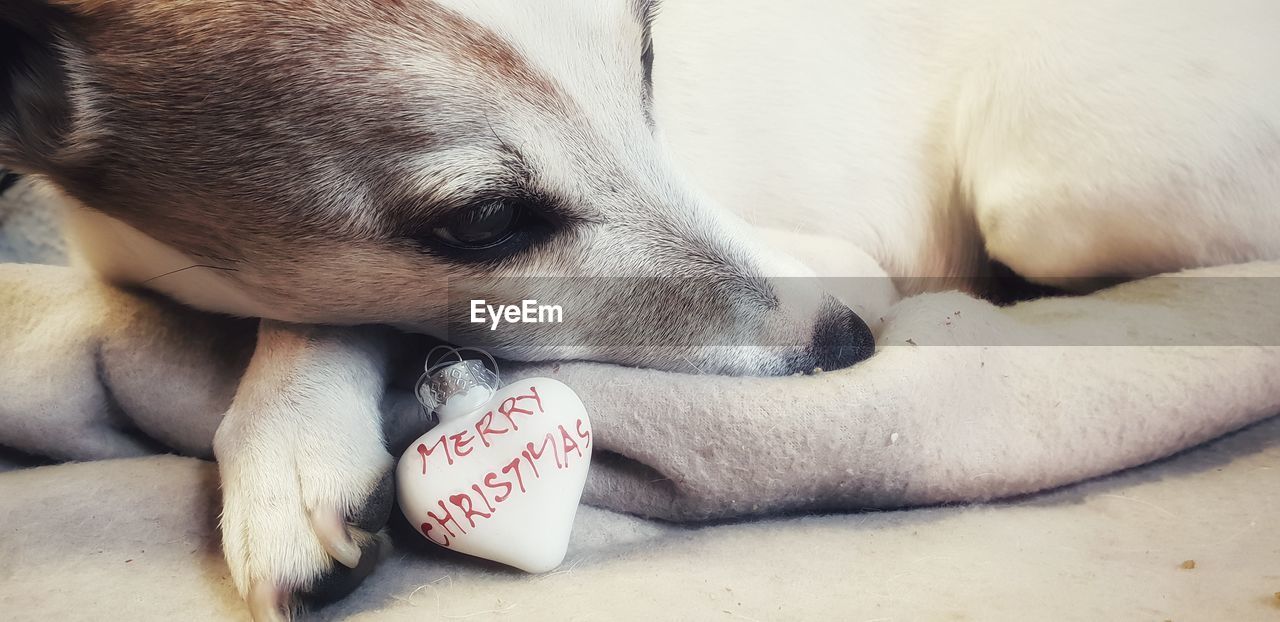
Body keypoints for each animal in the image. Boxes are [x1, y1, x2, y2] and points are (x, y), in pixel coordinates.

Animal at [2, 0, 1280, 619]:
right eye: (483, 220)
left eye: (651, 50)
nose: (846, 338)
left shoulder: (835, 253)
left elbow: (333, 314)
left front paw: (287, 450)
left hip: (1047, 193)